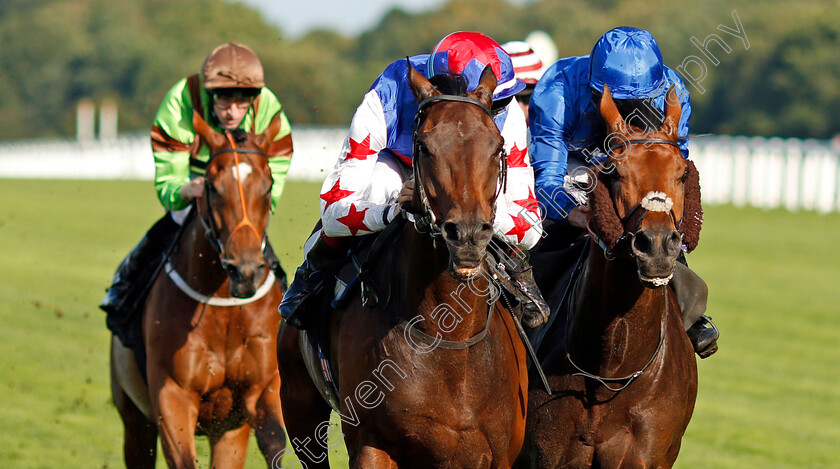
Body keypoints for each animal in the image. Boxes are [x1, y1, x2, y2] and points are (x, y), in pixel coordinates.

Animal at [110, 111, 288, 466]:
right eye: (212, 187)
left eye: (269, 185)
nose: (245, 272)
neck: (223, 304)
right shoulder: (172, 395)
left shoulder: (261, 391)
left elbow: (276, 443)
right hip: (134, 419)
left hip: (229, 433)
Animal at [278, 63, 524, 468]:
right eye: (423, 147)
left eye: (497, 146)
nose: (467, 234)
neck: (448, 337)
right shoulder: (372, 444)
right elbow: (341, 197)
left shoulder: (497, 454)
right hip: (298, 405)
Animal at [520, 86, 704, 466]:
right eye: (615, 172)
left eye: (682, 173)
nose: (657, 246)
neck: (612, 368)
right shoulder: (547, 454)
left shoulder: (649, 455)